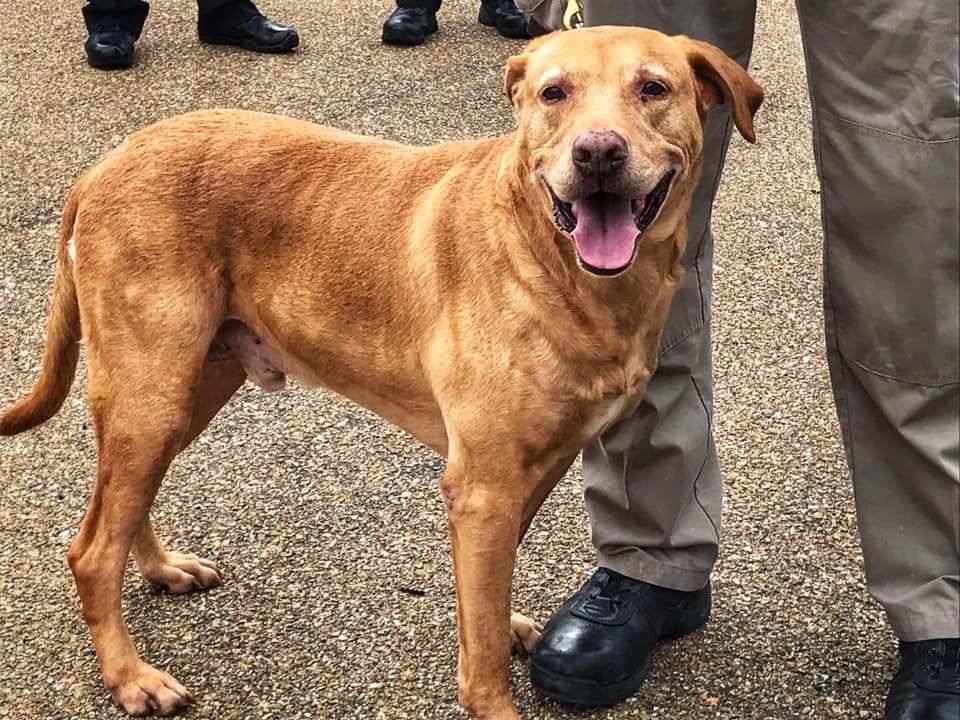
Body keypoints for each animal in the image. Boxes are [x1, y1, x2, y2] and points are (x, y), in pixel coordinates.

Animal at [1, 26, 764, 720]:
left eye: (653, 89)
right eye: (555, 94)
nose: (598, 153)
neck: (558, 264)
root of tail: (105, 163)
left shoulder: (529, 472)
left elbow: (486, 603)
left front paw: (494, 627)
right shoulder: (483, 485)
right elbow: (484, 644)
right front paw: (488, 690)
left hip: (188, 390)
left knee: (120, 506)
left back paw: (161, 569)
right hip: (152, 392)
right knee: (91, 548)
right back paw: (131, 677)